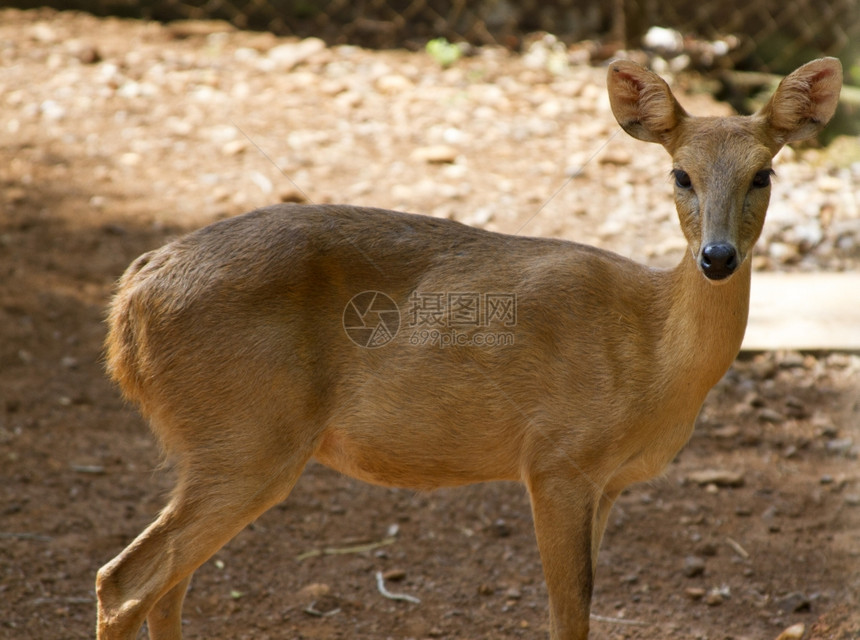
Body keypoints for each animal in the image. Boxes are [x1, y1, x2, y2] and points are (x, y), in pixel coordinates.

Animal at [94, 57, 840, 636]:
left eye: (764, 175)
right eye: (680, 174)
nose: (718, 257)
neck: (651, 352)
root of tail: (132, 296)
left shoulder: (607, 482)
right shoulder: (555, 457)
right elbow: (570, 612)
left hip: (219, 444)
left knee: (166, 588)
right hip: (246, 435)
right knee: (126, 580)